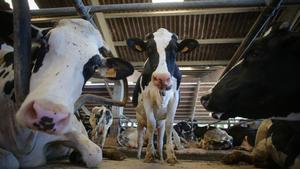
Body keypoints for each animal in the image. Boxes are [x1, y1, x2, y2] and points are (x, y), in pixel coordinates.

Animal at [0, 17, 134, 168]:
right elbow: (9, 160)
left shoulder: (70, 130)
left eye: (95, 66)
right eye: (44, 43)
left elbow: (95, 153)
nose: (48, 114)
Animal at [126, 28, 199, 164]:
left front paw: (170, 156)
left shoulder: (174, 98)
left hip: (161, 123)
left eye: (175, 49)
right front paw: (149, 154)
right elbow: (151, 124)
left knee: (159, 140)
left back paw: (160, 157)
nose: (162, 78)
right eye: (149, 48)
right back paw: (139, 156)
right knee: (140, 138)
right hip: (139, 120)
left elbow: (170, 125)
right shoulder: (147, 97)